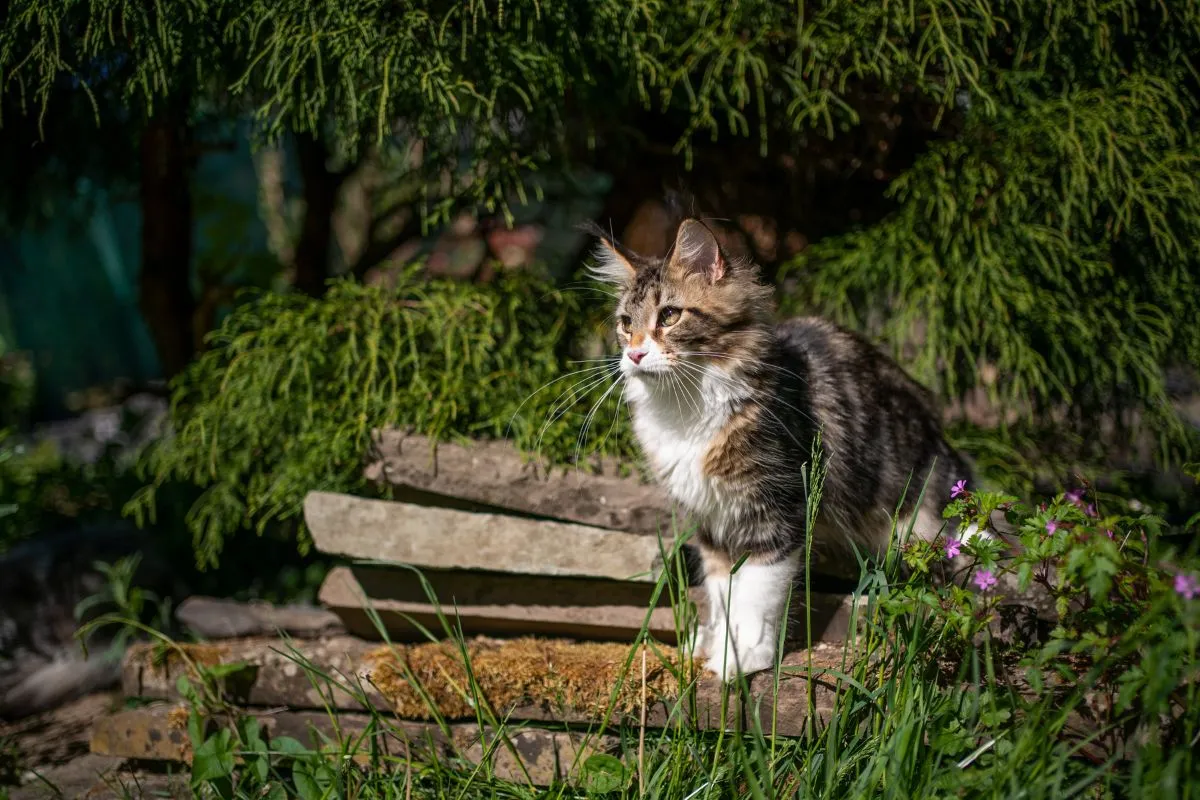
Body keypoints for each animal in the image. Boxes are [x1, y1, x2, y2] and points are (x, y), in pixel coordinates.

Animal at [585, 215, 979, 681]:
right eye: (626, 323)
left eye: (669, 315)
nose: (635, 354)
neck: (687, 409)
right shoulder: (713, 519)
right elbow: (723, 591)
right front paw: (717, 641)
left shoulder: (775, 507)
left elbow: (756, 592)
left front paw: (743, 657)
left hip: (917, 523)